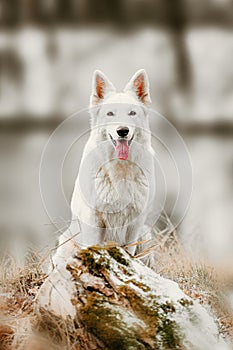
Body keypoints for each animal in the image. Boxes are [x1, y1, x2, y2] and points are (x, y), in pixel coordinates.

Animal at [53, 70, 158, 268]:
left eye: (132, 113)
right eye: (110, 113)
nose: (122, 131)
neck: (120, 170)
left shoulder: (135, 223)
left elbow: (128, 251)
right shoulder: (94, 220)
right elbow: (94, 247)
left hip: (145, 235)